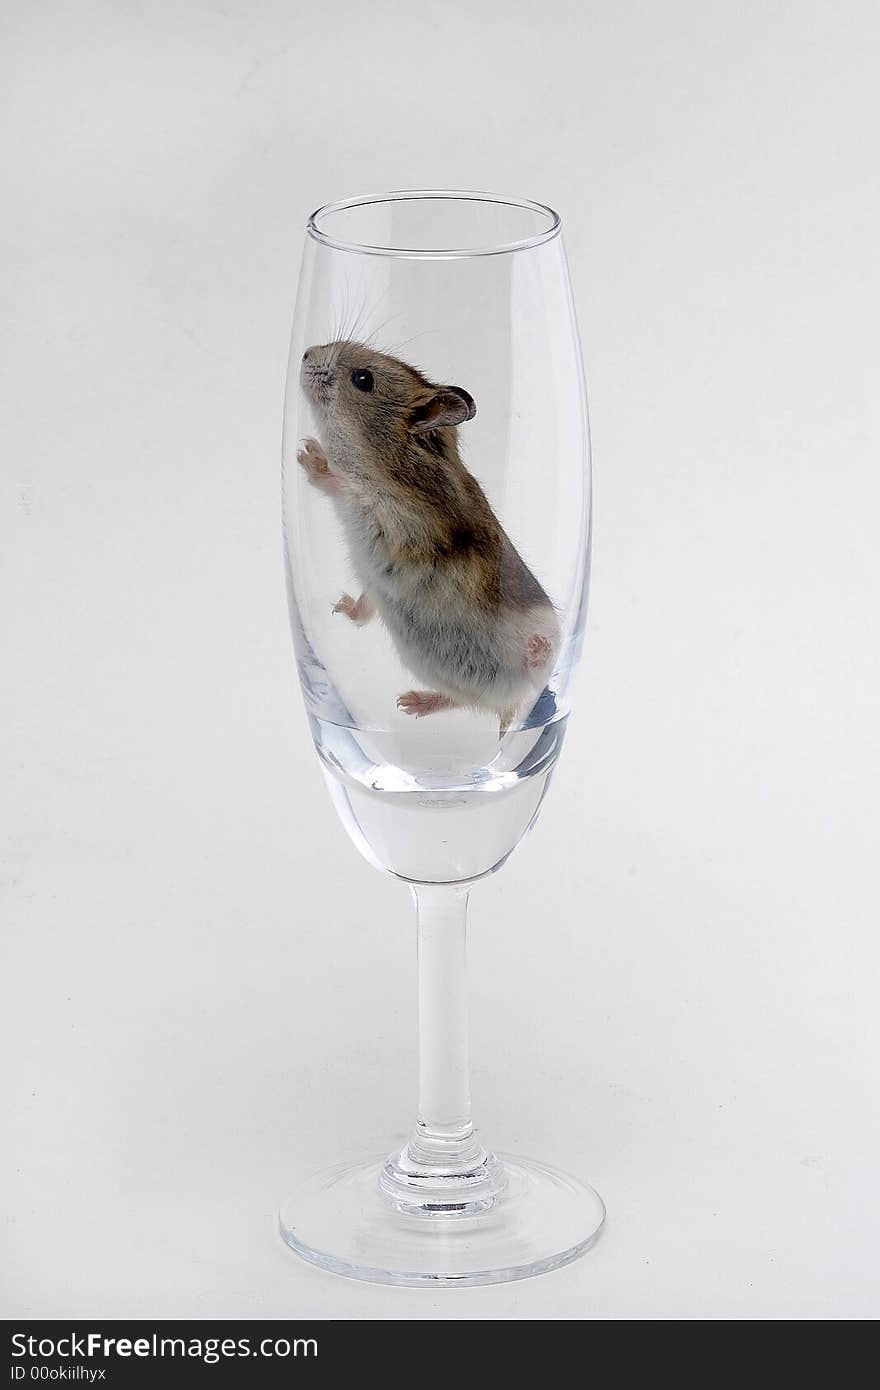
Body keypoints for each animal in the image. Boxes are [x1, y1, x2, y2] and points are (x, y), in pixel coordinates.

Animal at [294, 340, 556, 733]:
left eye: (363, 379)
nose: (307, 354)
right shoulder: (372, 577)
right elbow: (365, 605)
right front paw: (341, 606)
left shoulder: (402, 523)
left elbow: (344, 485)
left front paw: (308, 454)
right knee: (466, 699)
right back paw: (410, 704)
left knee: (532, 676)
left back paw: (538, 649)